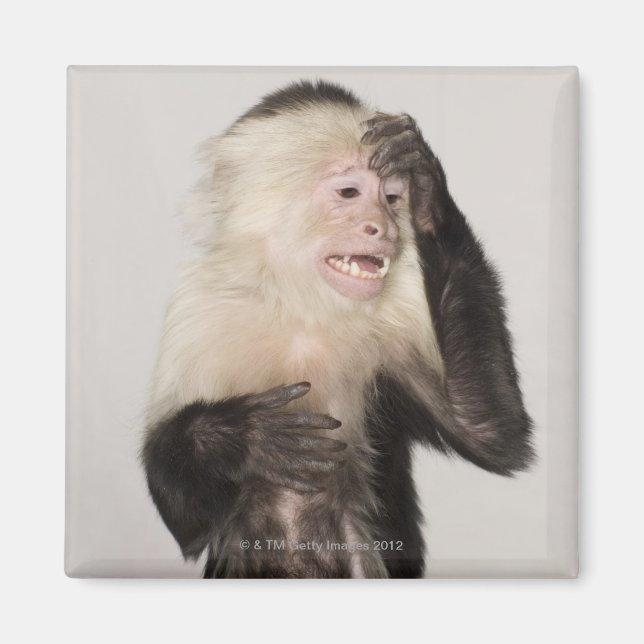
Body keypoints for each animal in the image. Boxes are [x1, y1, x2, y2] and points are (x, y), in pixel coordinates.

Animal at [141, 80, 534, 578]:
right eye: (349, 192)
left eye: (391, 198)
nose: (383, 228)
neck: (304, 305)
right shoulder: (197, 309)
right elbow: (185, 523)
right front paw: (238, 437)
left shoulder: (402, 311)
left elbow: (488, 430)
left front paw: (427, 186)